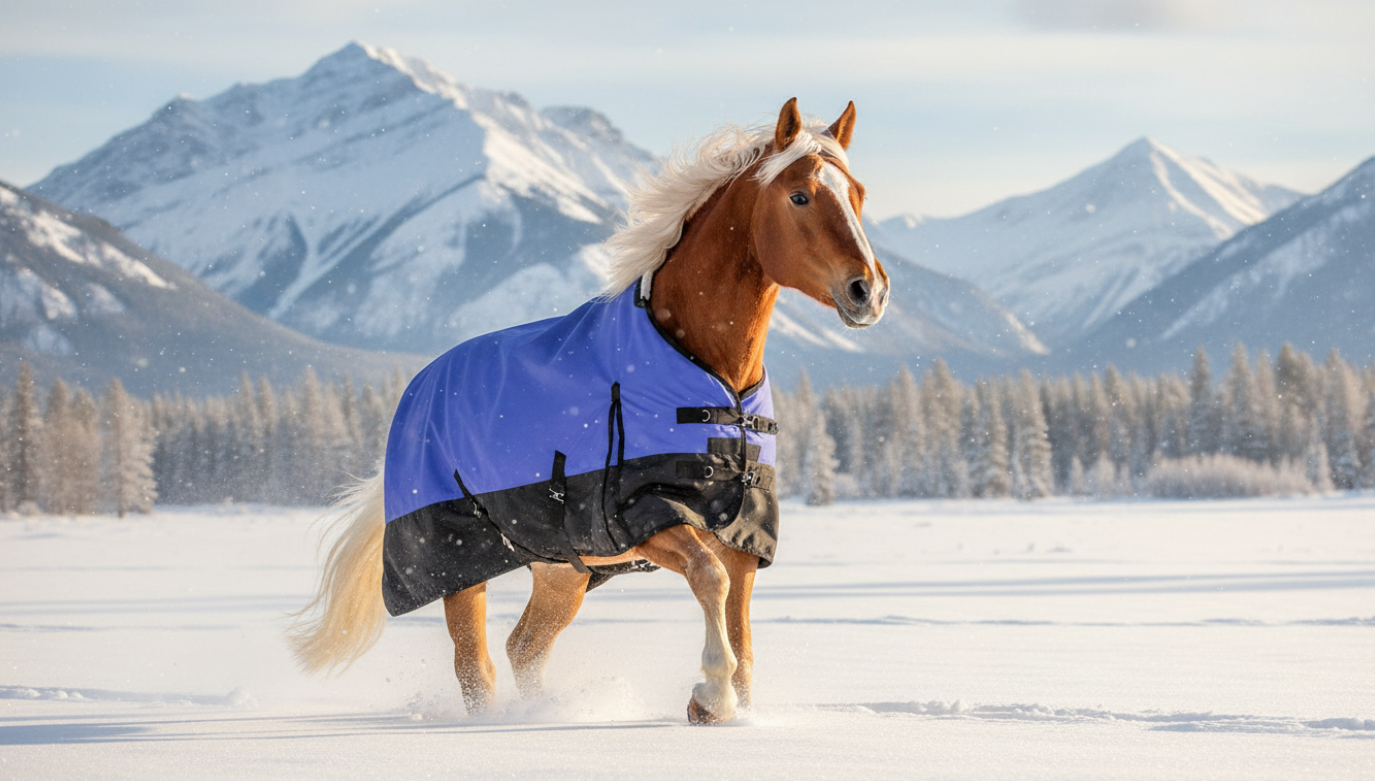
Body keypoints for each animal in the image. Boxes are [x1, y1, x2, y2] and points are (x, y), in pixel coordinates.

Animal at [287, 98, 889, 725]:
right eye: (799, 196)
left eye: (858, 194)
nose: (868, 291)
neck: (715, 375)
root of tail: (420, 386)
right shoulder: (648, 512)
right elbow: (709, 579)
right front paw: (709, 695)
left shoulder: (745, 530)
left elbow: (742, 633)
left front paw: (734, 706)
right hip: (458, 562)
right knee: (476, 666)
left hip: (561, 572)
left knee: (523, 648)